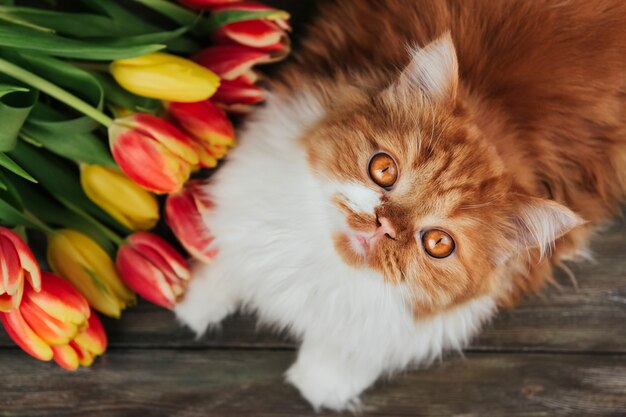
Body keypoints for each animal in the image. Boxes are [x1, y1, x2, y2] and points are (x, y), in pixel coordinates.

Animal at [174, 0, 624, 410]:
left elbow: (352, 352)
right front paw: (192, 303)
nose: (384, 225)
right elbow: (232, 252)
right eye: (384, 169)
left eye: (438, 243)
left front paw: (320, 383)